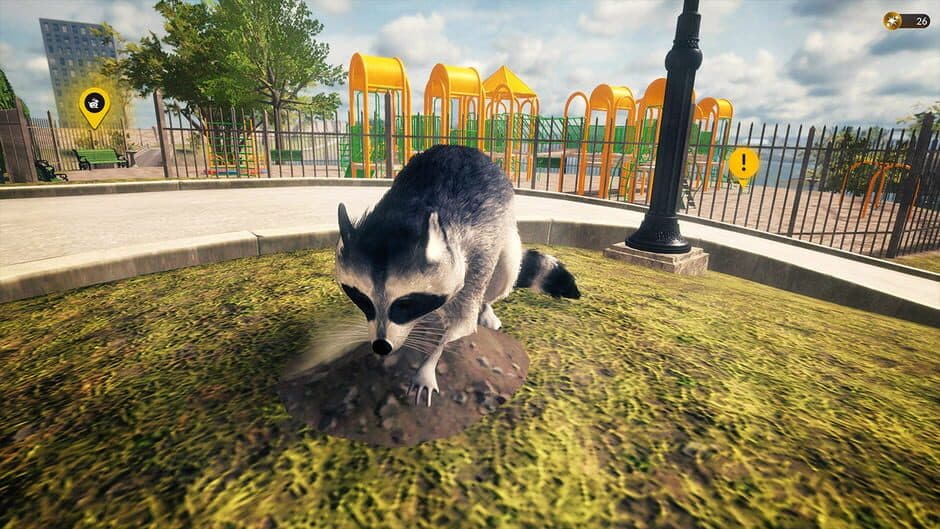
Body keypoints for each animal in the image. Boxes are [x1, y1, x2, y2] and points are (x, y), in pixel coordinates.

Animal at [335, 144, 579, 406]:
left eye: (405, 304)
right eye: (363, 300)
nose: (381, 346)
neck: (410, 210)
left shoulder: (478, 253)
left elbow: (462, 324)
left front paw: (428, 365)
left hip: (505, 238)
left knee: (506, 270)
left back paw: (486, 306)